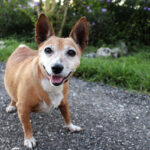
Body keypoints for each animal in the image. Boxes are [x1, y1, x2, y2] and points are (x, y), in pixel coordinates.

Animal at [4, 13, 88, 148]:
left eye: (71, 52)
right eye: (48, 50)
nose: (57, 67)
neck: (49, 84)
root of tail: (22, 47)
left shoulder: (64, 102)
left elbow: (67, 115)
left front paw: (70, 126)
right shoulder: (23, 108)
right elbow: (27, 125)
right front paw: (29, 139)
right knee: (13, 96)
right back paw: (11, 105)